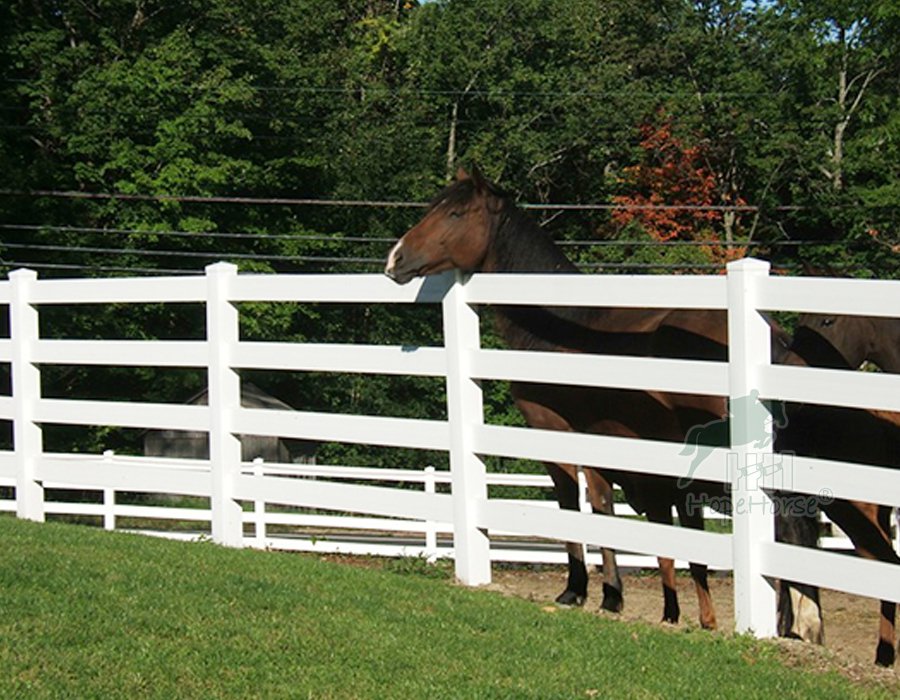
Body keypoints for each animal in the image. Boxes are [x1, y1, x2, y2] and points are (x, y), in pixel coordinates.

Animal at [384, 168, 784, 628]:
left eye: (455, 212)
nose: (395, 258)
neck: (561, 325)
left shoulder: (556, 432)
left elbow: (573, 504)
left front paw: (581, 589)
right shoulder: (602, 445)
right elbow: (603, 505)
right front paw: (613, 594)